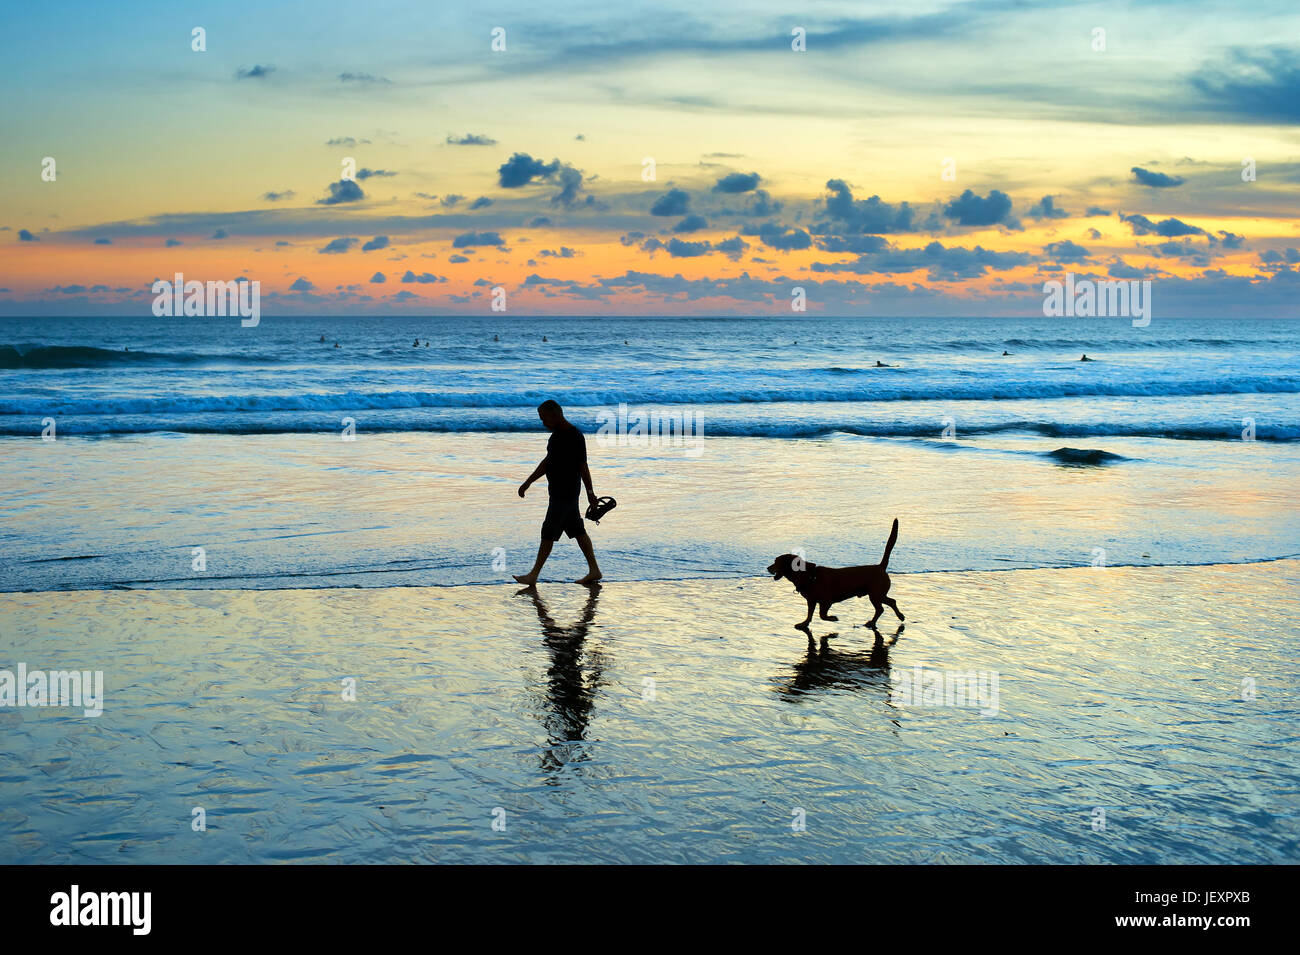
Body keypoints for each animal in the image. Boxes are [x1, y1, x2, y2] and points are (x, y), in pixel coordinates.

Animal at [759, 519, 904, 631]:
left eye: (776, 562)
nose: (767, 568)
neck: (808, 576)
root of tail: (880, 566)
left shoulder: (826, 601)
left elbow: (822, 615)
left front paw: (832, 618)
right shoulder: (811, 601)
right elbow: (810, 614)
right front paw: (804, 623)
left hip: (875, 594)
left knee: (881, 608)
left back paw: (874, 622)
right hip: (877, 594)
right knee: (891, 602)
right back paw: (898, 616)